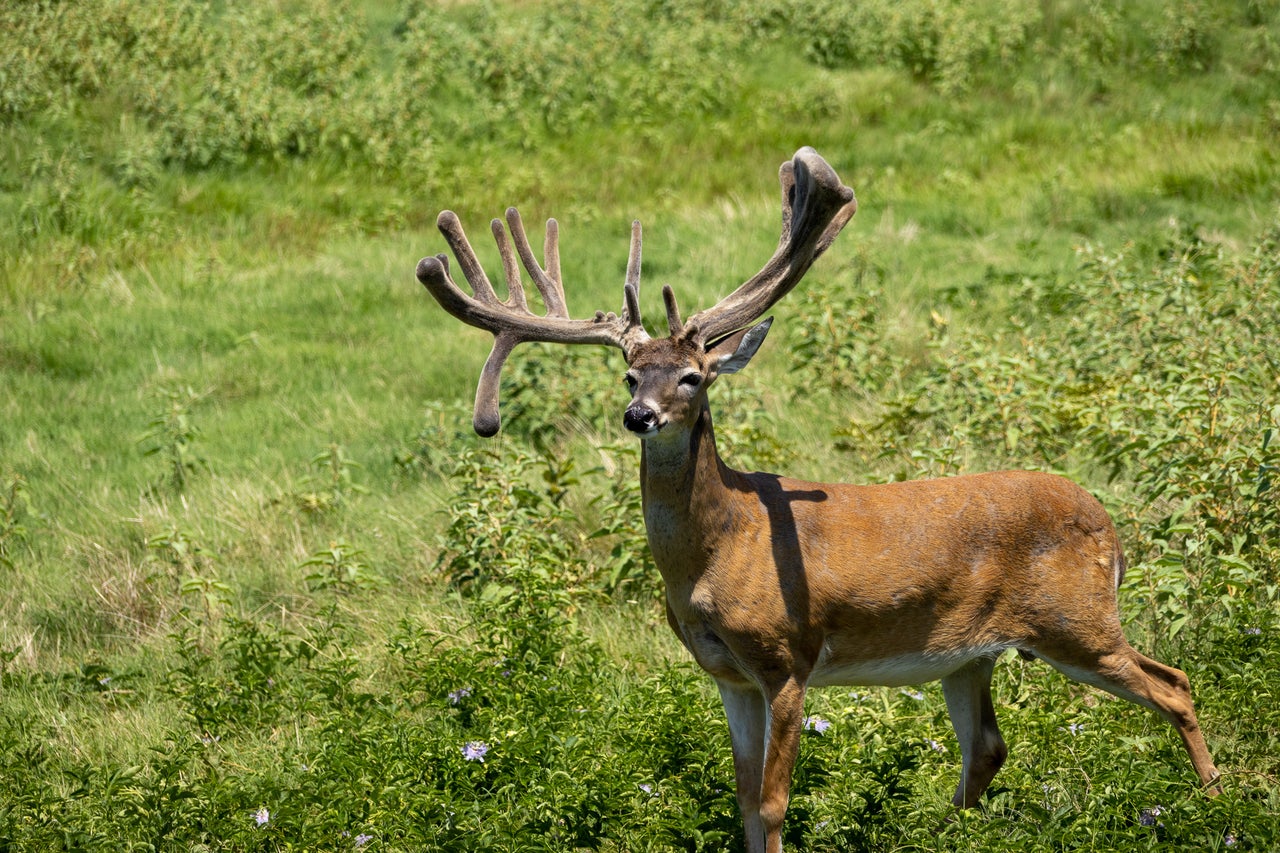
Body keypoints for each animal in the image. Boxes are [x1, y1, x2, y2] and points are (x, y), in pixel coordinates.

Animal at [414, 147, 1223, 850]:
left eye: (693, 377)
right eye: (630, 375)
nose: (639, 415)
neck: (719, 549)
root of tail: (1110, 527)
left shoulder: (787, 657)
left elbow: (773, 802)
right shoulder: (726, 673)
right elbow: (742, 797)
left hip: (1076, 619)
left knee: (1176, 684)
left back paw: (1219, 805)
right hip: (971, 653)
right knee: (989, 745)